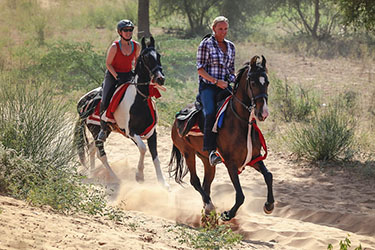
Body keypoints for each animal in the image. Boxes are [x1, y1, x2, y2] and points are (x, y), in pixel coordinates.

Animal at [75, 35, 169, 188]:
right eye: (145, 57)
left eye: (158, 55)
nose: (160, 78)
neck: (140, 99)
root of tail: (82, 102)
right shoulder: (131, 132)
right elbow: (143, 148)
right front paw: (139, 175)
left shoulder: (152, 132)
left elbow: (155, 156)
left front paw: (163, 182)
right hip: (96, 130)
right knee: (101, 154)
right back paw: (115, 178)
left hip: (105, 131)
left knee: (92, 148)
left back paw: (93, 173)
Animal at [169, 55, 274, 221]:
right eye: (253, 82)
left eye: (267, 82)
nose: (263, 113)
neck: (240, 123)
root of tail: (177, 119)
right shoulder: (231, 164)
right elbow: (240, 195)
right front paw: (228, 214)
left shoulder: (254, 158)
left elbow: (268, 176)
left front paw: (269, 206)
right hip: (187, 153)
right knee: (195, 181)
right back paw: (210, 206)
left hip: (206, 160)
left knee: (206, 184)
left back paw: (207, 210)